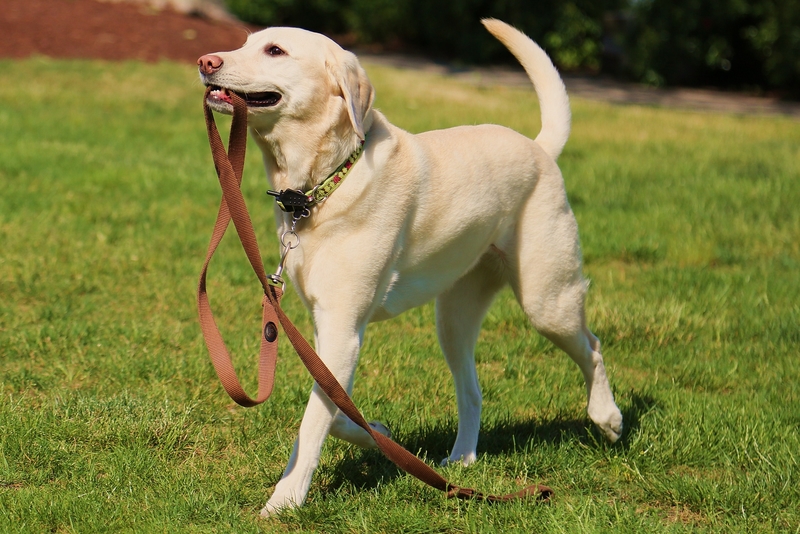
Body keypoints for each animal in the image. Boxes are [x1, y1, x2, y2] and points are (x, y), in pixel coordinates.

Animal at [197, 18, 620, 516]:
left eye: (275, 50)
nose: (206, 61)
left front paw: (285, 500)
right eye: (245, 42)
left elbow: (314, 421)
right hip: (453, 320)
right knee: (472, 391)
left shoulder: (343, 329)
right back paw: (461, 460)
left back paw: (608, 418)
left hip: (546, 301)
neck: (325, 183)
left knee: (592, 347)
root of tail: (539, 149)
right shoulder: (327, 329)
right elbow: (334, 407)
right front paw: (376, 433)